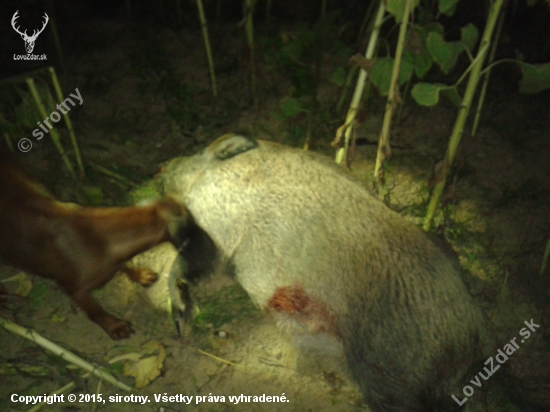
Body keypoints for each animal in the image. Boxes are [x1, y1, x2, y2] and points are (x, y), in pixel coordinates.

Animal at [0, 150, 194, 340]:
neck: (98, 237)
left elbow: (125, 265)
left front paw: (140, 275)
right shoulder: (74, 288)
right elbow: (95, 311)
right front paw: (115, 326)